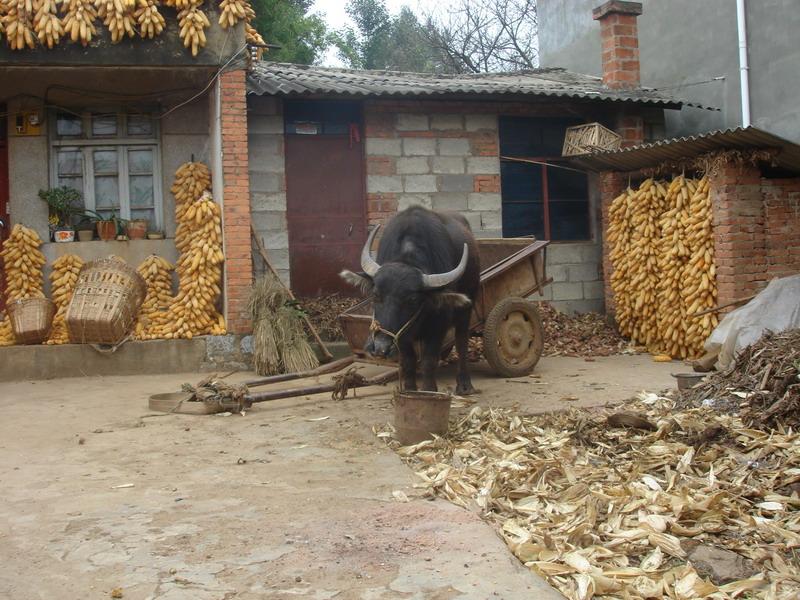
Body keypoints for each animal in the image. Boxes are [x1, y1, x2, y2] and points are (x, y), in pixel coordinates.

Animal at [340, 204, 478, 396]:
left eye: (412, 299)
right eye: (375, 294)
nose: (380, 347)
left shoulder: (438, 326)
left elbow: (428, 359)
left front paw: (428, 391)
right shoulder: (401, 335)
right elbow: (409, 361)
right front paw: (410, 390)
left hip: (466, 308)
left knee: (461, 341)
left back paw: (465, 385)